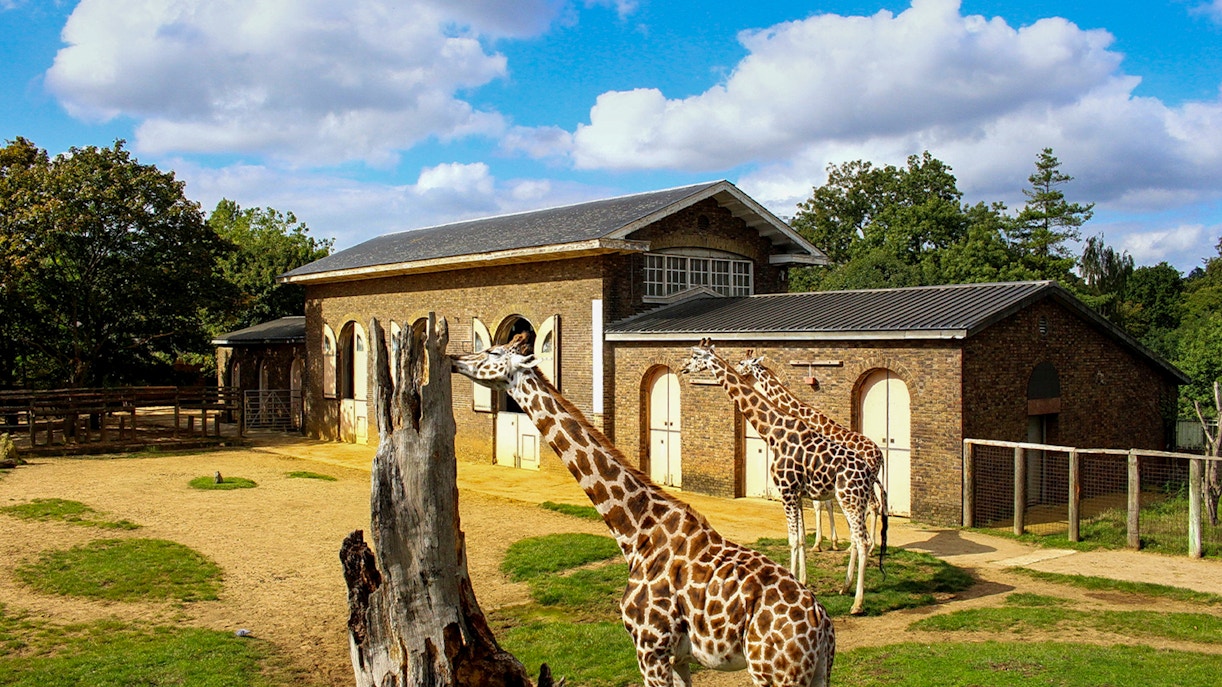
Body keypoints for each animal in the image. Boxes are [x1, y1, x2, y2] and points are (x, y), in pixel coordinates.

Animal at [452, 333, 834, 687]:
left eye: (493, 353)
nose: (455, 359)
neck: (636, 530)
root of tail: (823, 627)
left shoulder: (649, 649)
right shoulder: (678, 658)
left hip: (774, 675)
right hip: (815, 675)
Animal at [737, 353, 889, 556]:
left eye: (742, 363)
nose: (738, 370)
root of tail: (880, 455)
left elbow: (819, 504)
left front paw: (818, 544)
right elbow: (827, 504)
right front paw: (832, 542)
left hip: (863, 482)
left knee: (871, 506)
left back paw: (867, 547)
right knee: (870, 506)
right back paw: (859, 546)